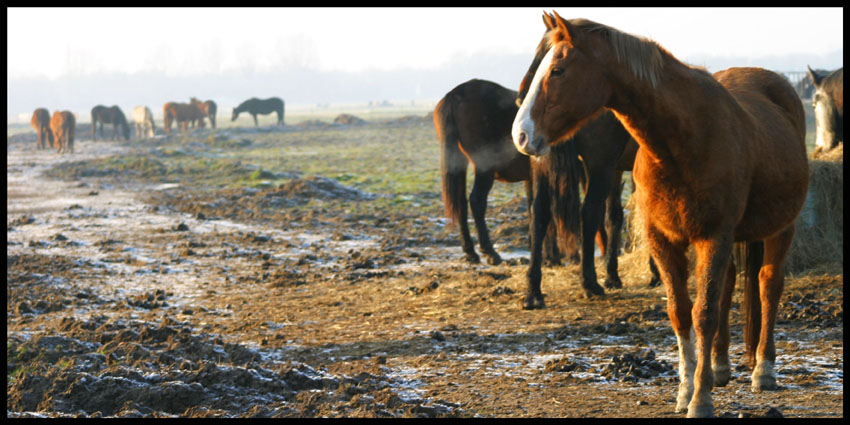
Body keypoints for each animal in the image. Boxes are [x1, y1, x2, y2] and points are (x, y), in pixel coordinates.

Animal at [510, 12, 808, 414]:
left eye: (557, 70)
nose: (521, 134)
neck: (682, 139)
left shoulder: (713, 236)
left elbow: (704, 314)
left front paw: (700, 400)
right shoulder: (664, 238)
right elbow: (681, 312)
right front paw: (685, 391)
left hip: (780, 229)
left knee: (768, 286)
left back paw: (764, 370)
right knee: (729, 285)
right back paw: (720, 367)